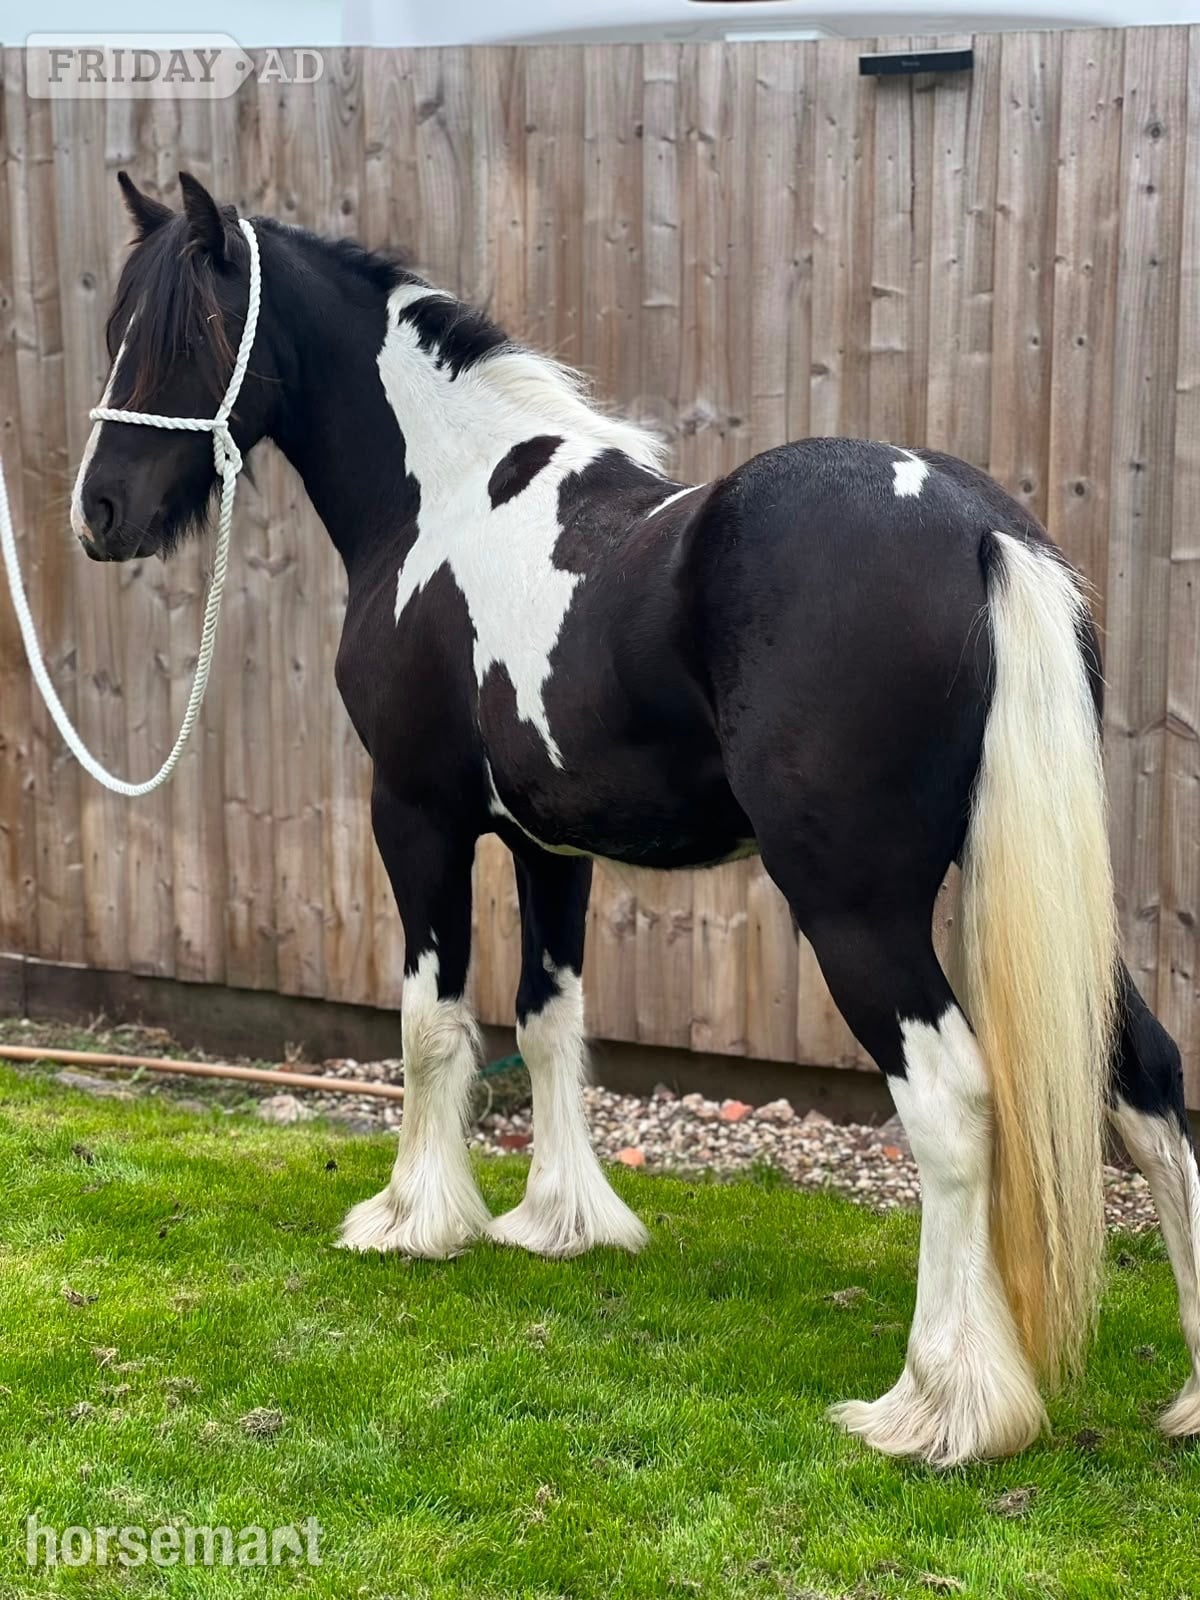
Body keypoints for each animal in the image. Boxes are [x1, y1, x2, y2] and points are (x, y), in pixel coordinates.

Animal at [68, 170, 1200, 1467]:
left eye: (188, 335)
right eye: (119, 329)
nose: (98, 511)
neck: (444, 500)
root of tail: (980, 530)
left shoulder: (416, 815)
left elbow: (429, 1024)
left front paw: (412, 1219)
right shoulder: (550, 845)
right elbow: (549, 1017)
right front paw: (562, 1220)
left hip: (855, 907)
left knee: (954, 1105)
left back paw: (941, 1405)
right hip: (1039, 893)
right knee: (1147, 1074)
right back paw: (1185, 1394)